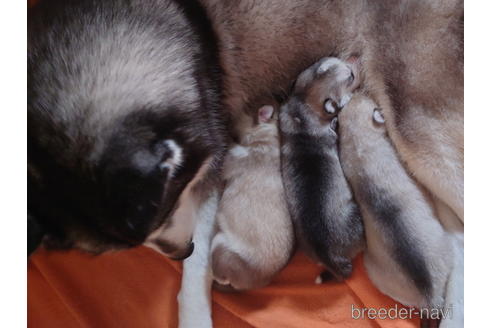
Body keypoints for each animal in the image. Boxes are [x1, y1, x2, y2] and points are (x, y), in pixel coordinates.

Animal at [210, 104, 294, 290]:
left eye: (244, 110)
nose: (227, 116)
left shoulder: (235, 158)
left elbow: (227, 149)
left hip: (220, 243)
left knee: (220, 274)